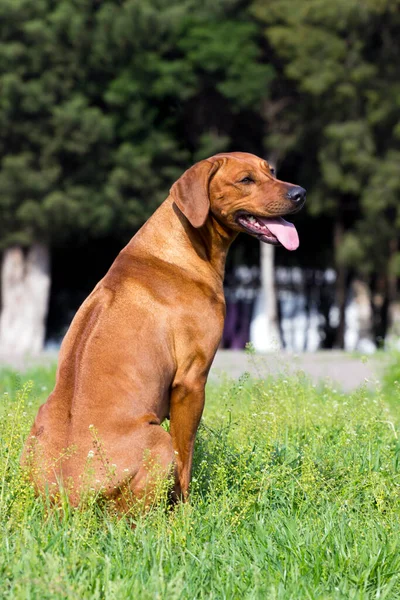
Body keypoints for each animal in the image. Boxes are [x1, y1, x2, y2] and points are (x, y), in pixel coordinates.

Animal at [22, 152, 306, 508]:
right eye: (245, 180)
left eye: (272, 171)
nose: (300, 193)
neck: (181, 248)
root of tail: (67, 498)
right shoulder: (190, 381)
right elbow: (185, 457)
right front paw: (186, 508)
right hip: (156, 439)